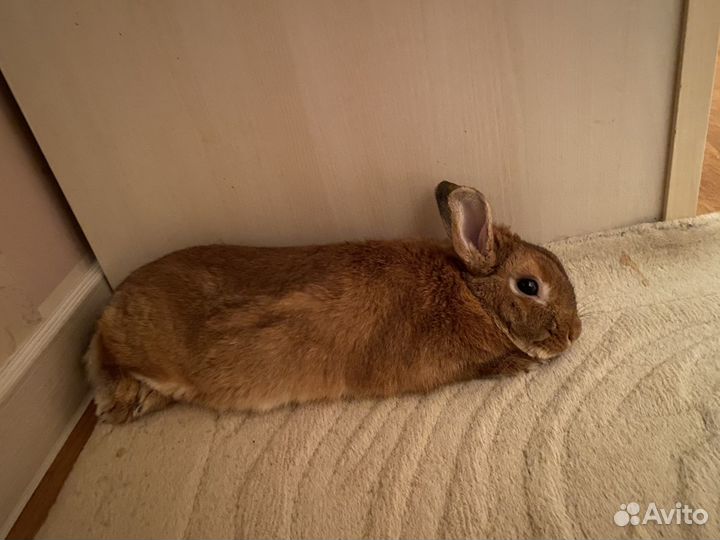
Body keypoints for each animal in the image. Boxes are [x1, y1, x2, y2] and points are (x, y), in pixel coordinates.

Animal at [85, 181, 581, 423]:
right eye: (530, 286)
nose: (575, 335)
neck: (471, 295)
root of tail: (117, 300)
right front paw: (519, 365)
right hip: (150, 349)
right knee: (105, 352)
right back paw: (116, 403)